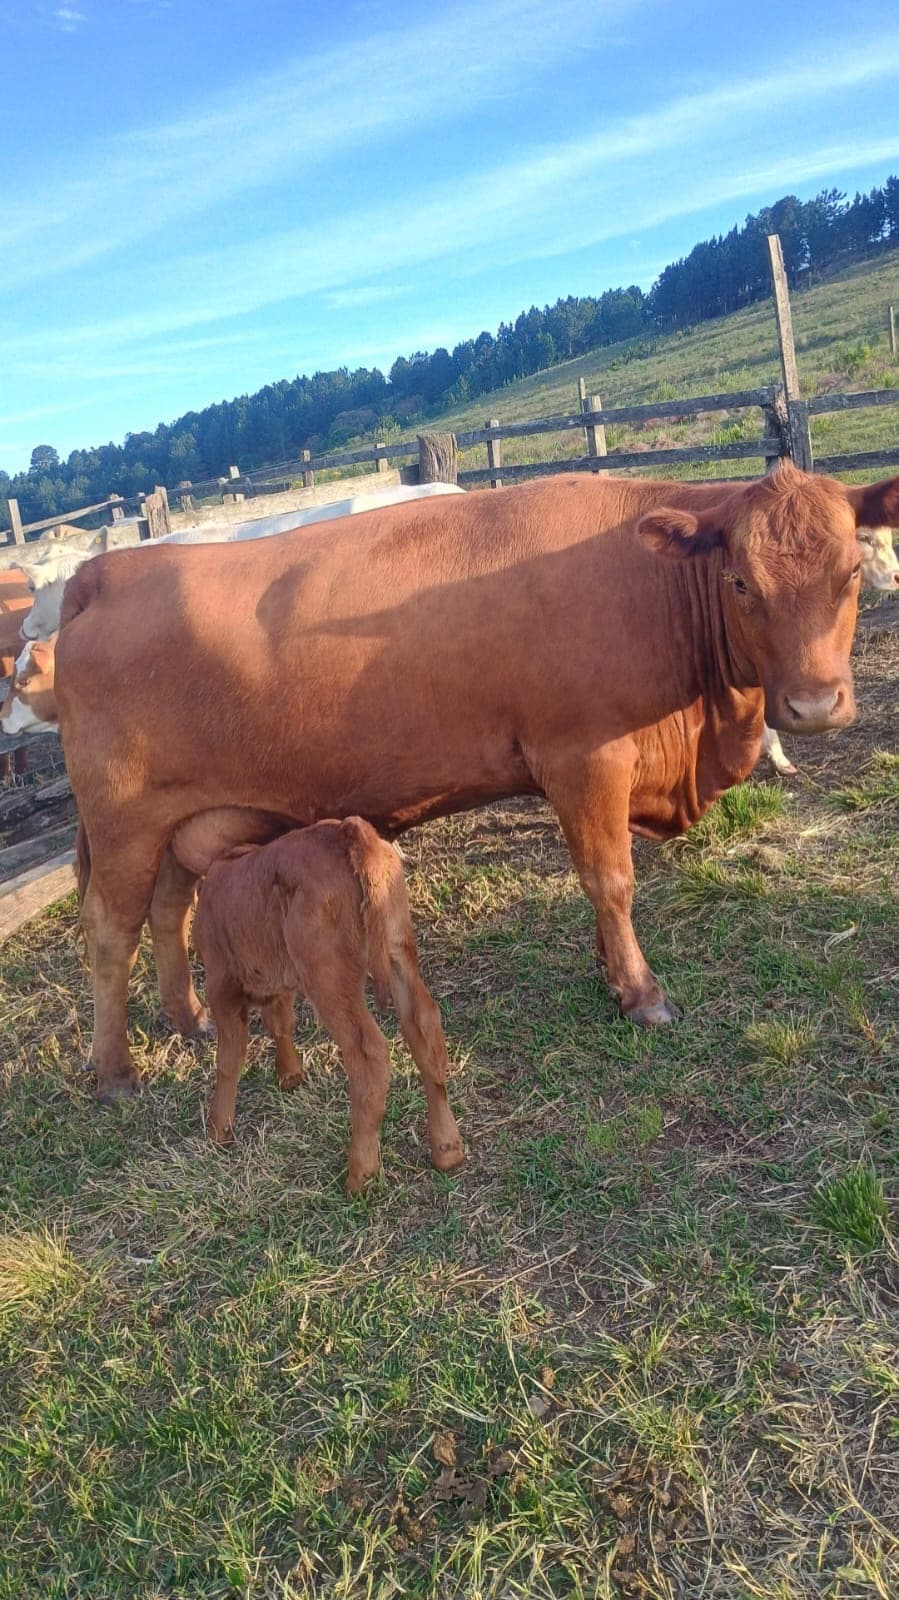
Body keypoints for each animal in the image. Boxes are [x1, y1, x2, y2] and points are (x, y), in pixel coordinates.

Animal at [191, 818, 465, 1189]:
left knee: (367, 1052)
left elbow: (229, 1058)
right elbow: (281, 1021)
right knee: (423, 1025)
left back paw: (360, 1174)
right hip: (396, 945)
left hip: (326, 971)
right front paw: (290, 1074)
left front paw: (218, 1130)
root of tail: (349, 830)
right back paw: (447, 1149)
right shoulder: (280, 976)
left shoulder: (221, 981)